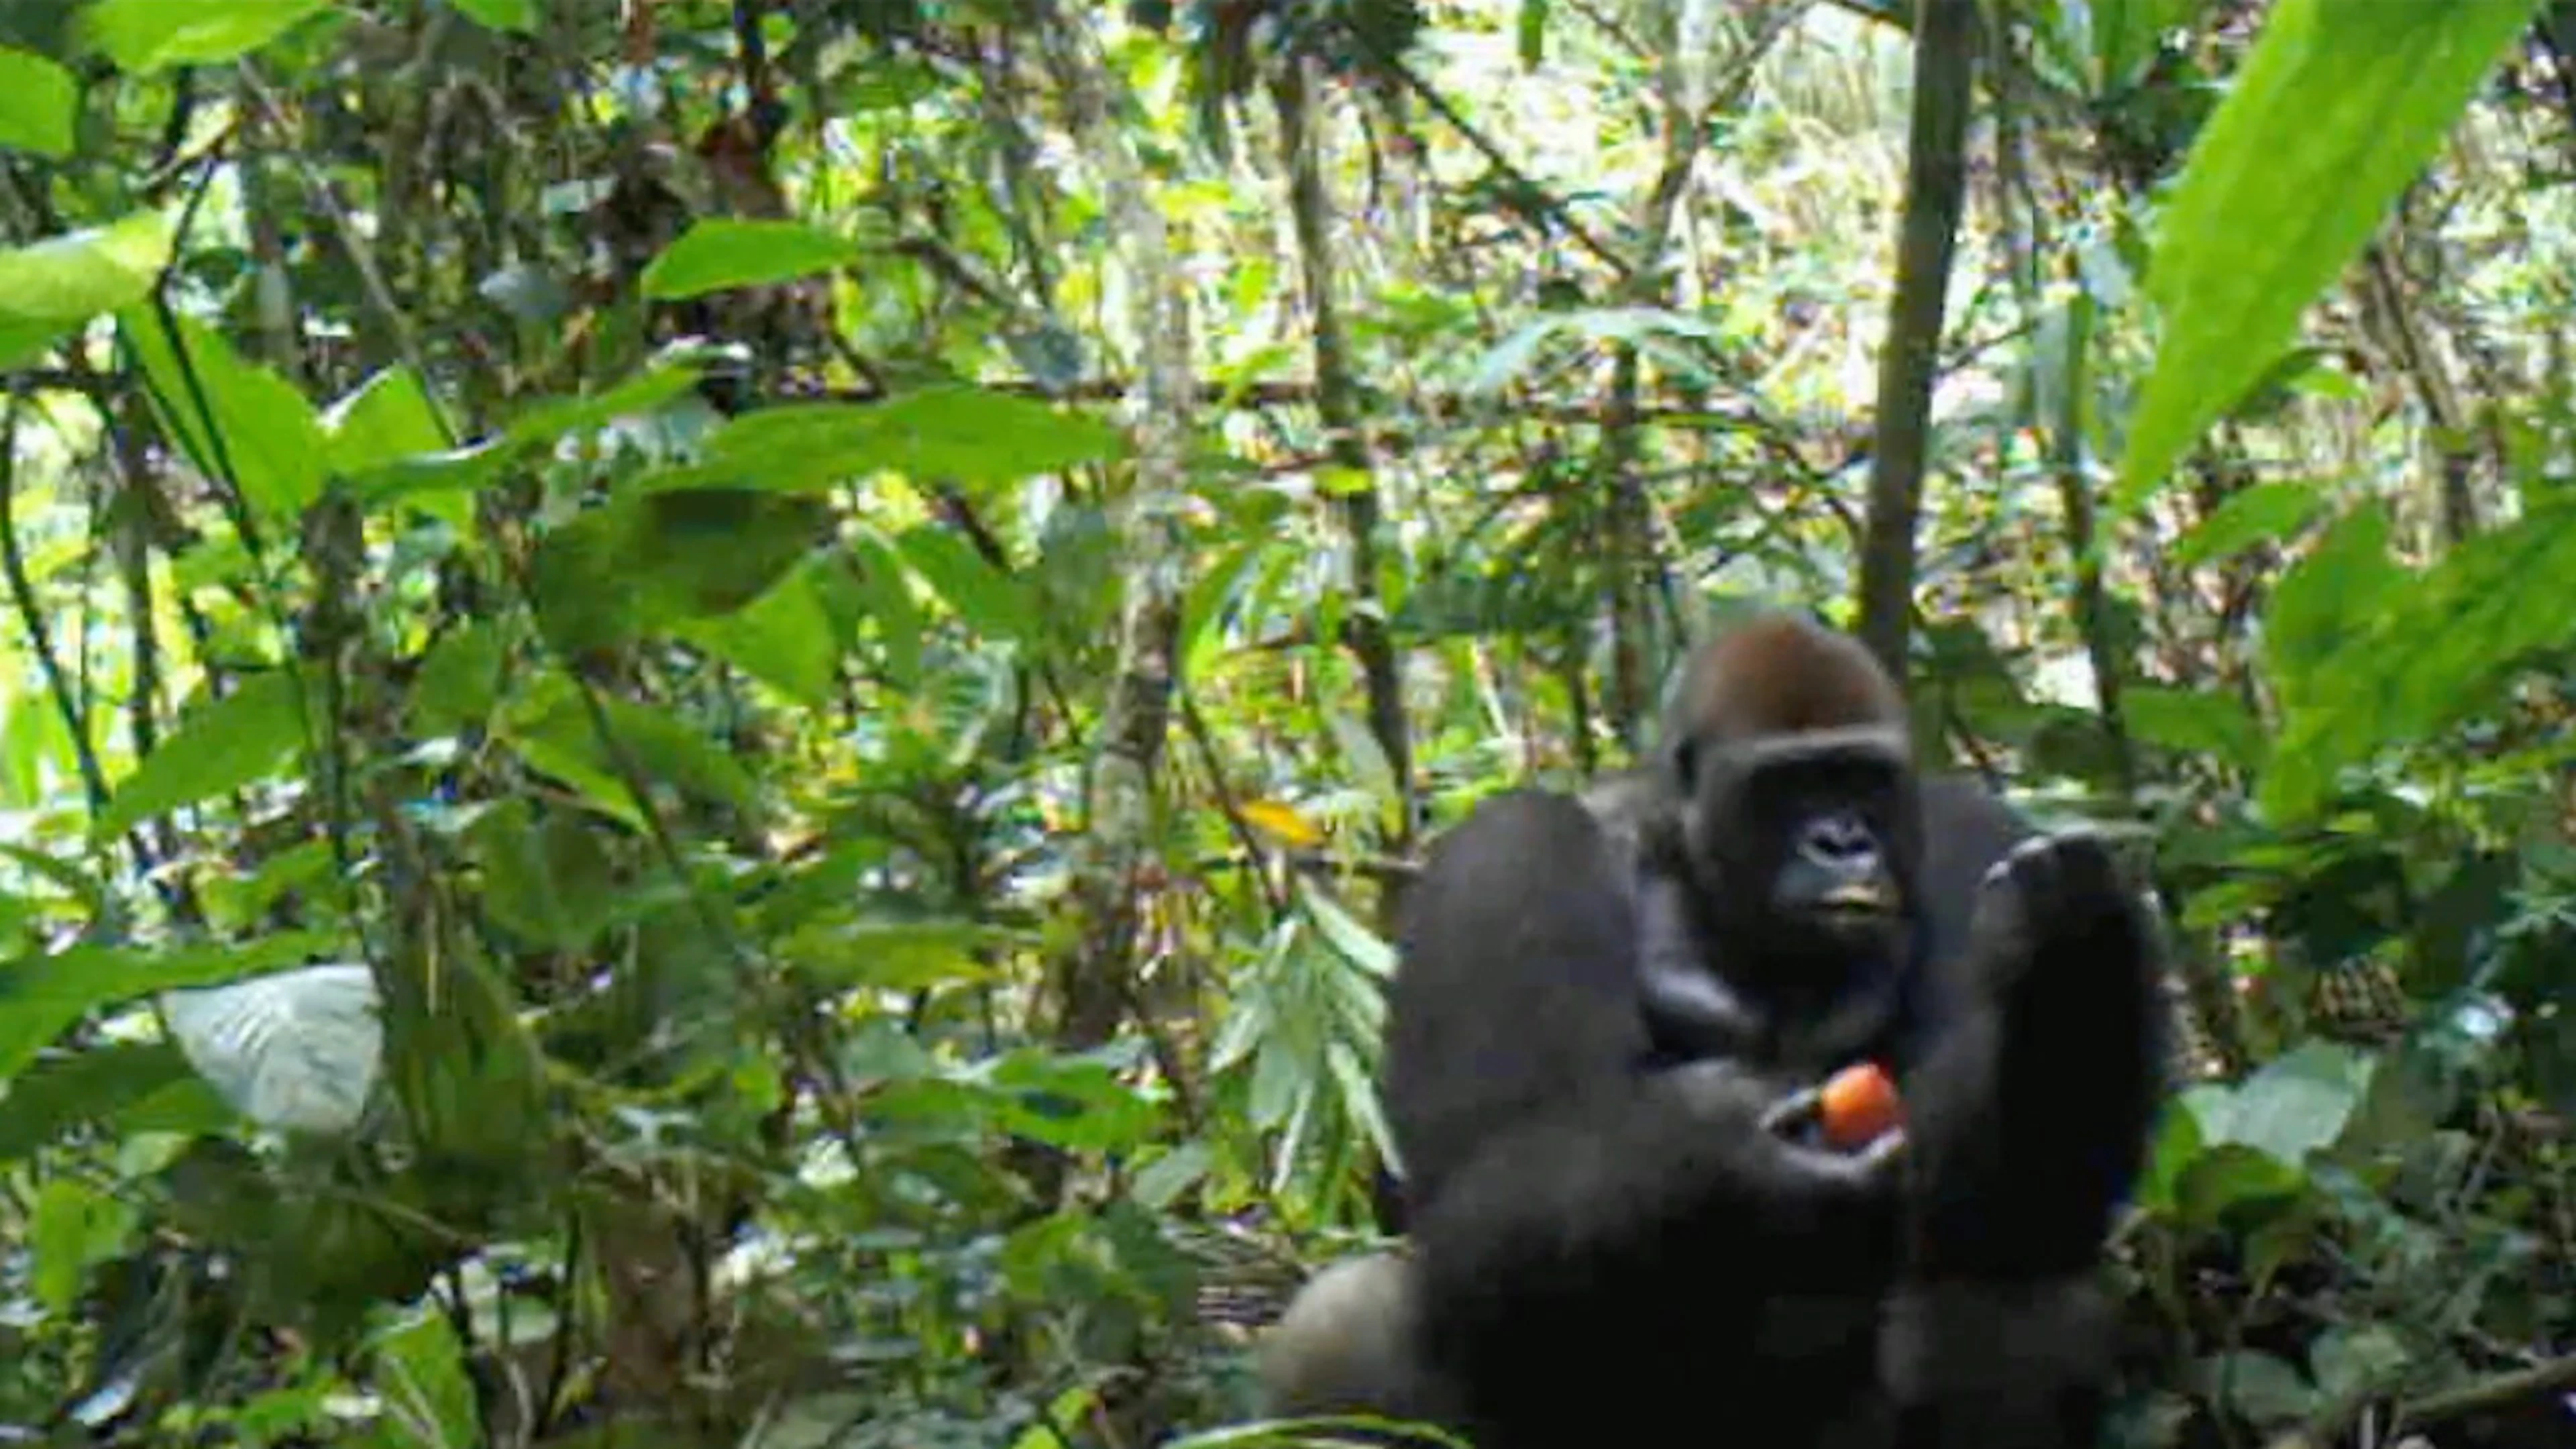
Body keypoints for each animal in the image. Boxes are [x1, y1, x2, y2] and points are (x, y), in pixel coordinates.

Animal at [1255, 611, 2165, 1449]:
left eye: (1862, 778)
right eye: (1790, 786)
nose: (1842, 841)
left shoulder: (1973, 834)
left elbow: (2025, 1194)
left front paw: (2066, 968)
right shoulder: (1502, 856)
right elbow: (1470, 1193)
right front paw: (1728, 1153)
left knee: (2020, 1281)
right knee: (1347, 1318)